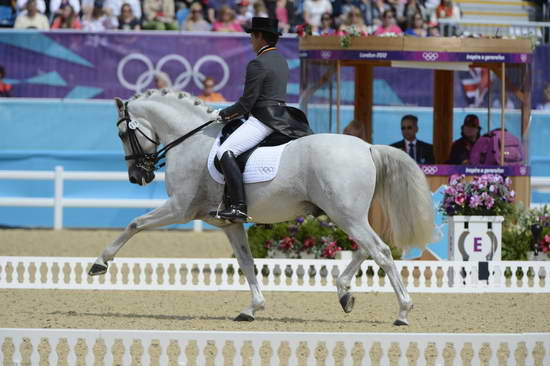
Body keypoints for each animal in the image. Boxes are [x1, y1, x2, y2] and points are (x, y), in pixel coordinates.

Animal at [89, 90, 436, 324]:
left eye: (122, 133)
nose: (138, 177)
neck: (192, 141)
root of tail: (367, 147)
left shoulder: (179, 209)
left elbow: (134, 224)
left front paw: (99, 264)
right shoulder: (229, 222)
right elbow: (247, 263)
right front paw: (251, 308)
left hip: (345, 214)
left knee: (381, 251)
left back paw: (403, 312)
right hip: (347, 215)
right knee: (369, 248)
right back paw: (344, 293)